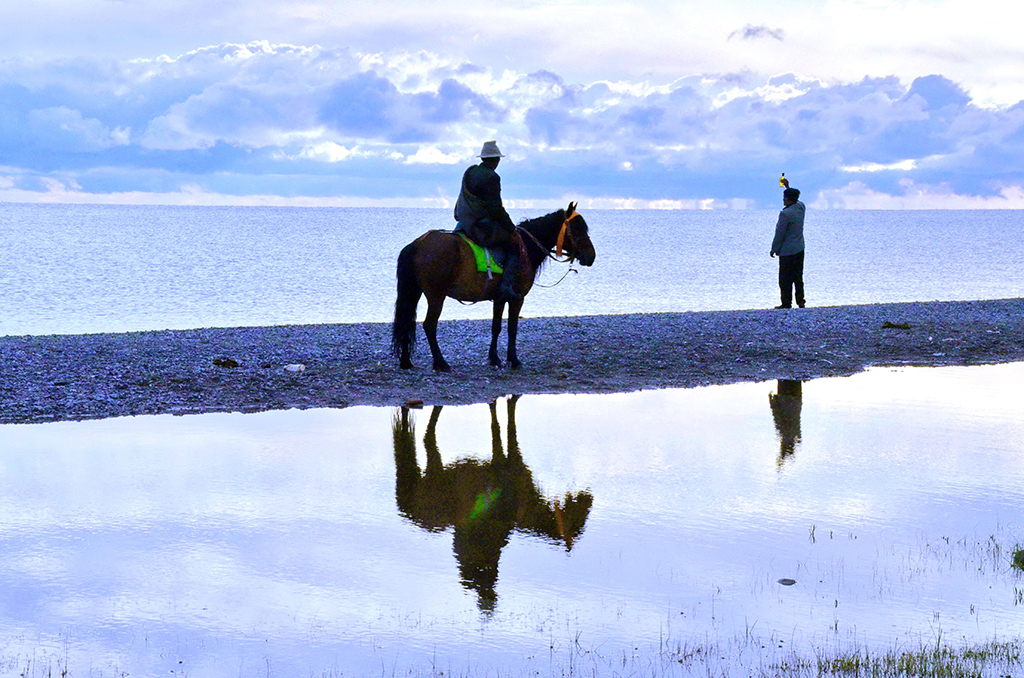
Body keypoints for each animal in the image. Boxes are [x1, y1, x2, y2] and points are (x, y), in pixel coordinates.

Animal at [393, 201, 598, 372]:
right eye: (577, 229)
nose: (591, 256)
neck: (526, 248)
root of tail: (418, 243)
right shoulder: (518, 298)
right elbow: (512, 328)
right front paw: (514, 360)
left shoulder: (499, 298)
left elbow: (496, 327)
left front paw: (494, 358)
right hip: (436, 296)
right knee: (429, 325)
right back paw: (440, 362)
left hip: (415, 292)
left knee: (407, 321)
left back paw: (406, 361)